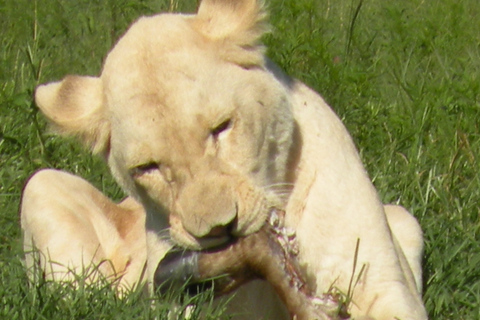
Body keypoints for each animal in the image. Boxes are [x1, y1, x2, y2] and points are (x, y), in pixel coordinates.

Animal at [21, 0, 428, 318]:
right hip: (40, 185)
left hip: (405, 219)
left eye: (221, 128)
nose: (220, 229)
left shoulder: (384, 286)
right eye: (148, 168)